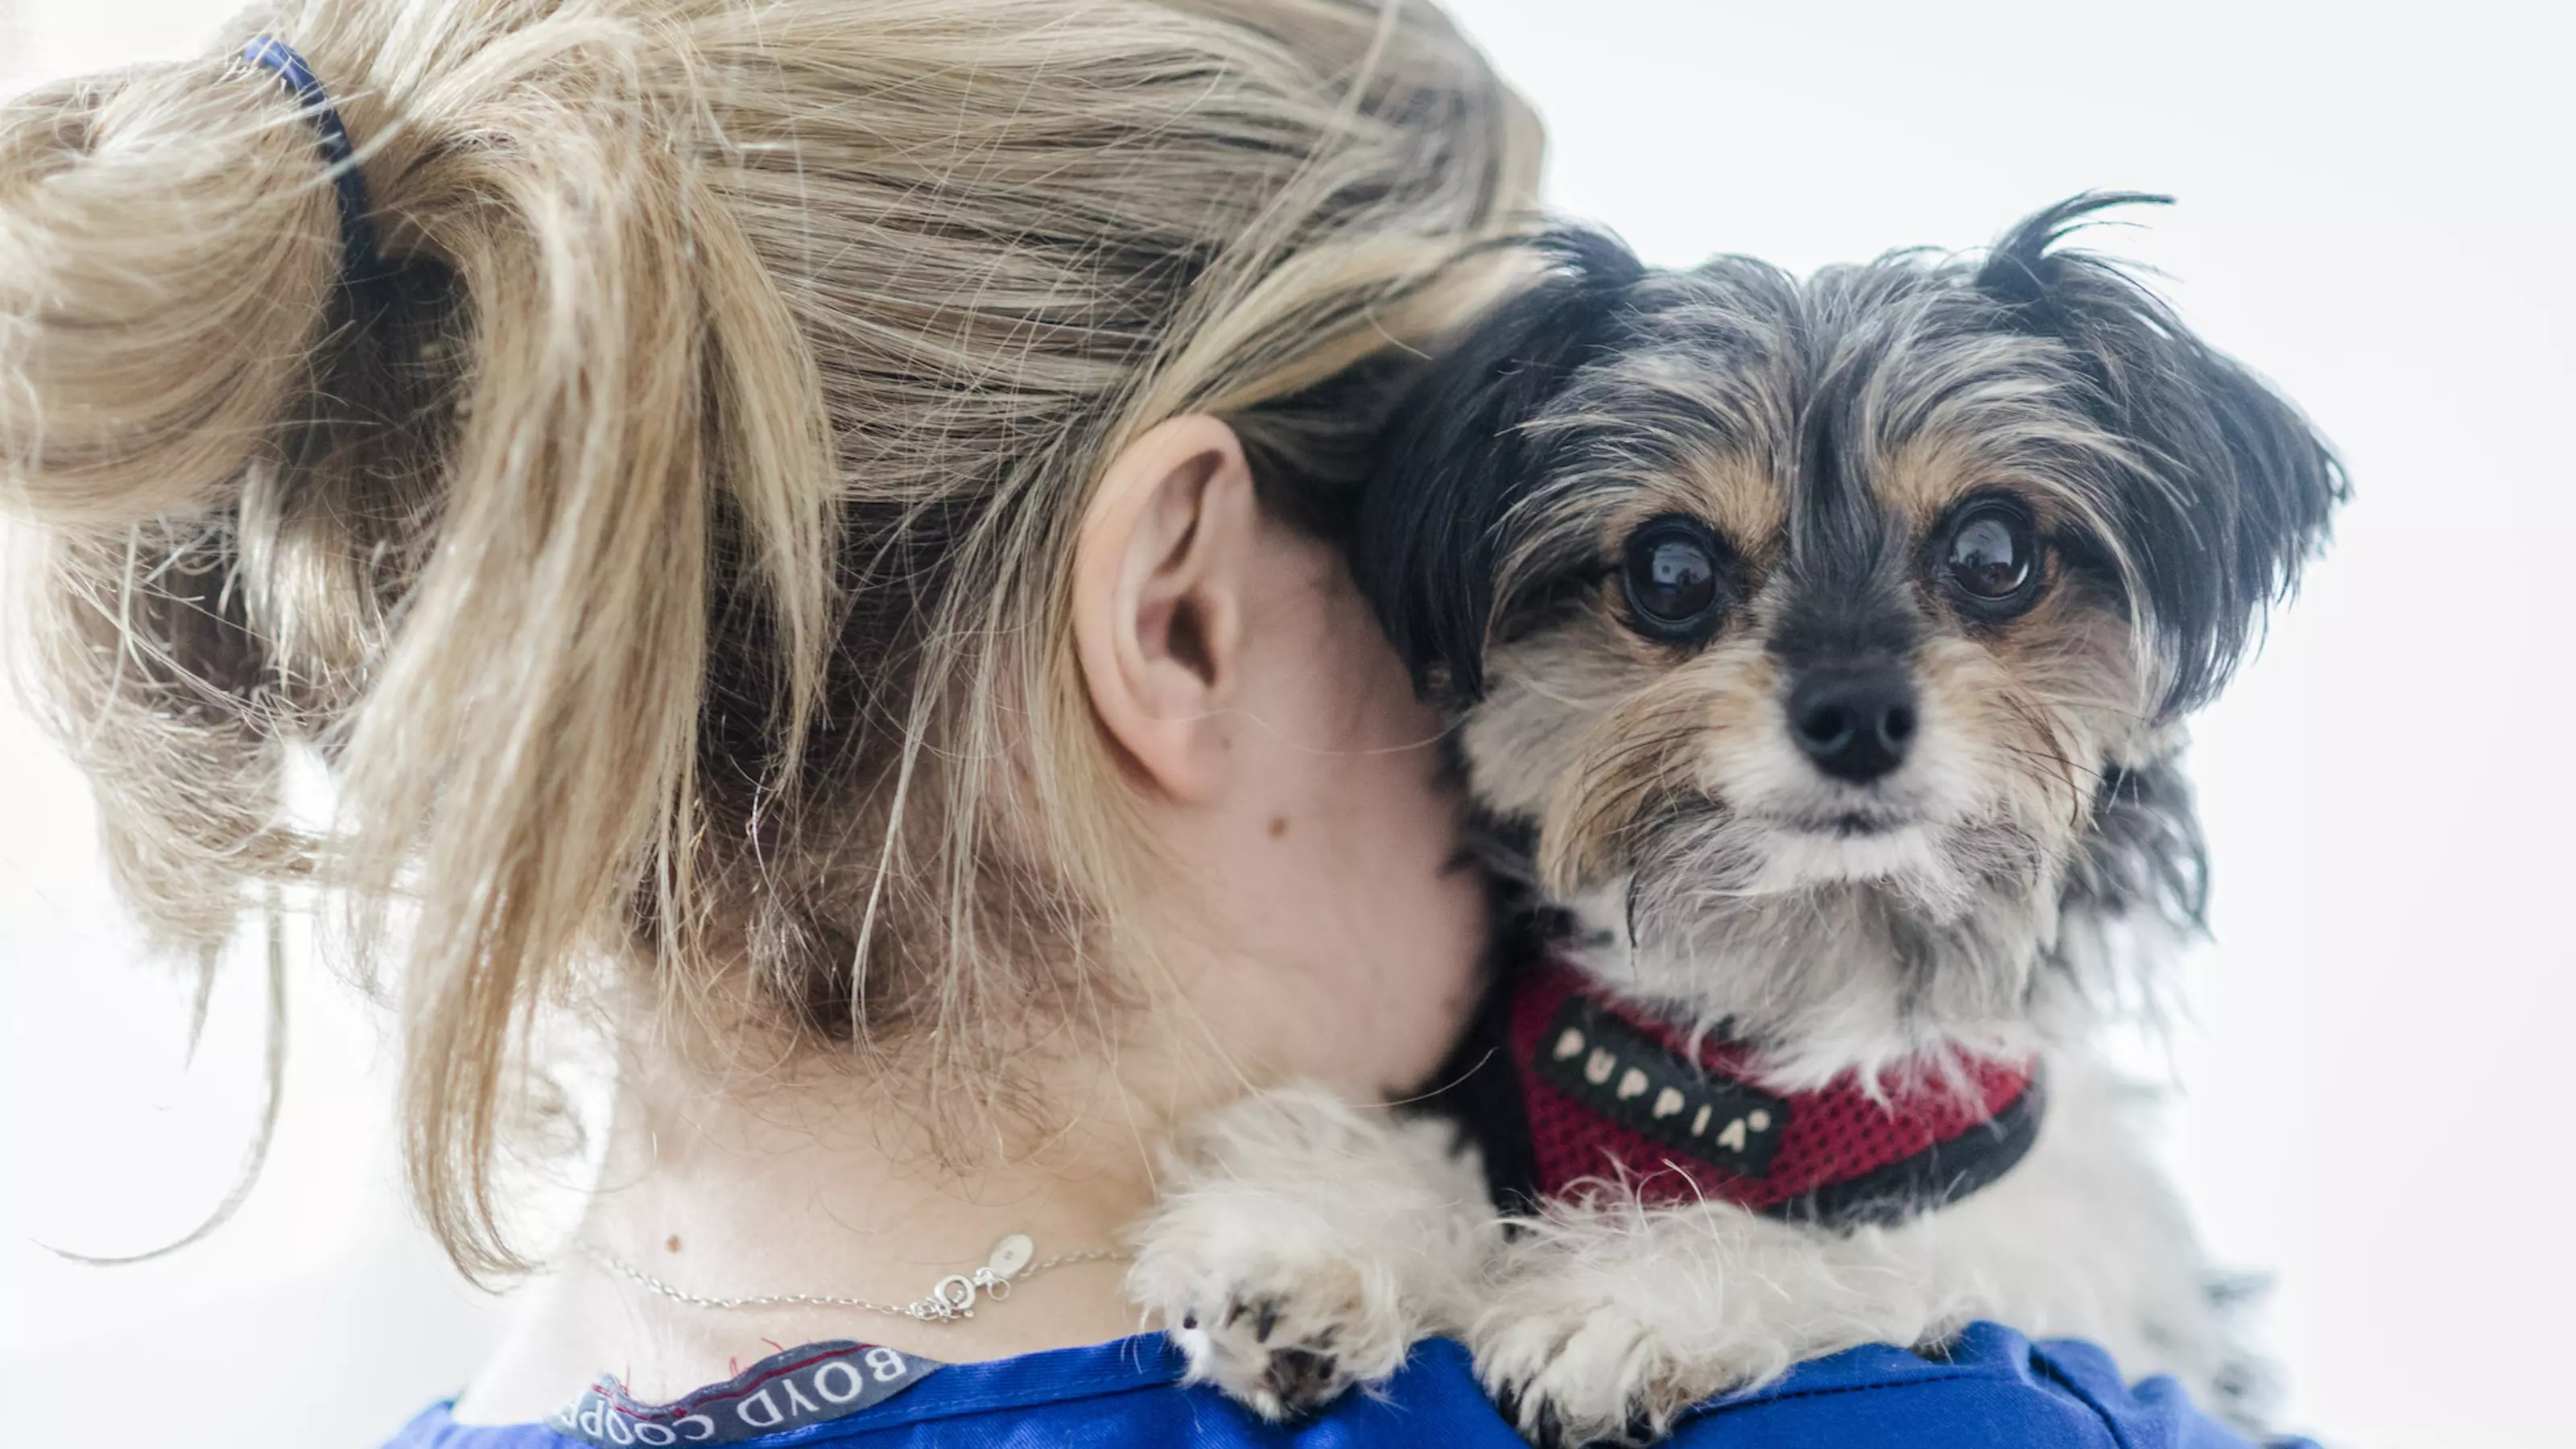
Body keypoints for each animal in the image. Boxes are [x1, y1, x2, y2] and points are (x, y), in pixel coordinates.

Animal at [1123, 194, 2339, 1443]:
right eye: (1670, 569)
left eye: (1993, 550)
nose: (1854, 712)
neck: (1774, 1015)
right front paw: (1319, 1226)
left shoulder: (2054, 1239)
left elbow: (1877, 1247)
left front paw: (1632, 1294)